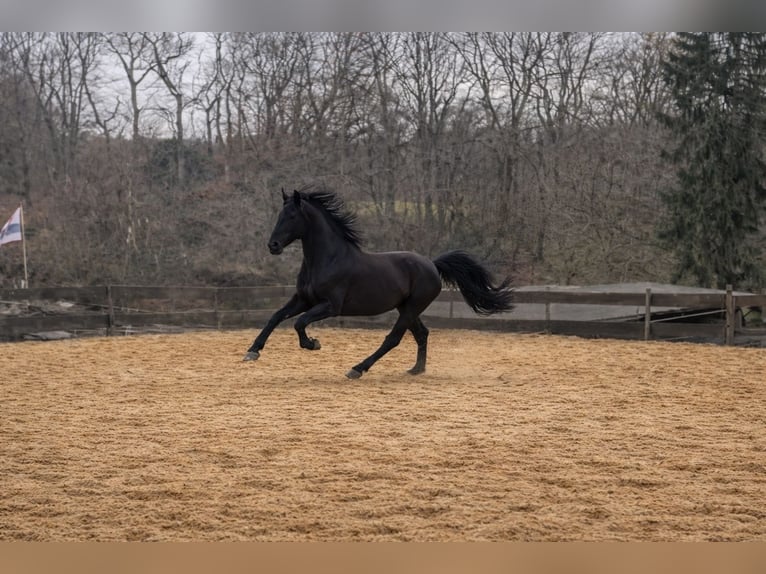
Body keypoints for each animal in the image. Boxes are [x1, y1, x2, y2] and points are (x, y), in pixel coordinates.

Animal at [243, 187, 514, 378]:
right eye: (279, 215)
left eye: (291, 216)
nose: (273, 246)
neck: (327, 259)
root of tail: (432, 264)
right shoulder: (303, 299)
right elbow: (276, 317)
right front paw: (252, 352)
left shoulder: (330, 306)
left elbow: (299, 323)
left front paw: (313, 344)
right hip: (406, 307)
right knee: (421, 333)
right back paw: (416, 370)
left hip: (411, 307)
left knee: (393, 339)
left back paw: (357, 369)